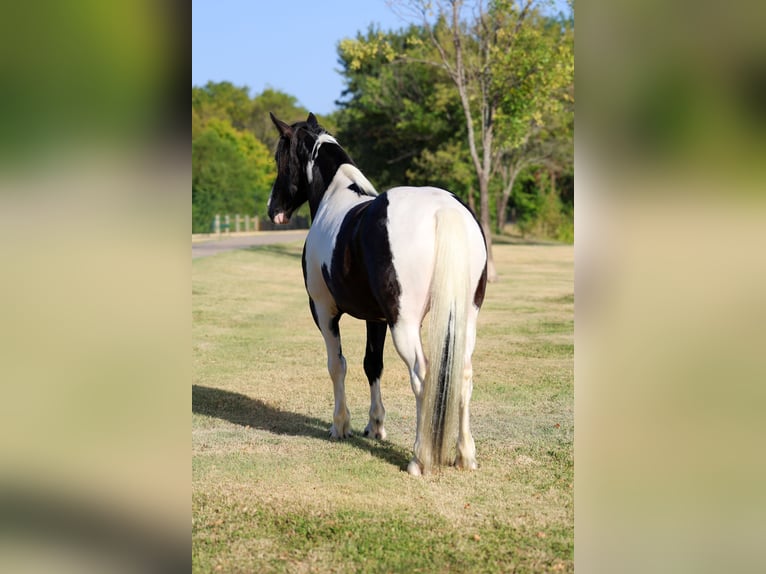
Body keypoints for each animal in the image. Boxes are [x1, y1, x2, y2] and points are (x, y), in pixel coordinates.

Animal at [266, 112, 488, 475]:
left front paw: (340, 425)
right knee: (465, 375)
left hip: (405, 325)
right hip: (466, 317)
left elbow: (337, 365)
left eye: (279, 158)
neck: (336, 198)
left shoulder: (324, 311)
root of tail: (444, 209)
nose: (274, 210)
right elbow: (373, 364)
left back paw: (419, 459)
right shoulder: (377, 318)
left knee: (422, 375)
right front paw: (375, 426)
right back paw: (465, 455)